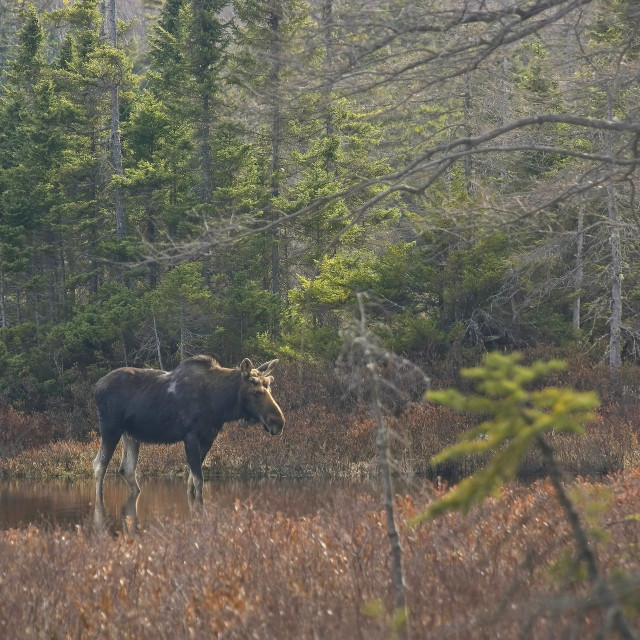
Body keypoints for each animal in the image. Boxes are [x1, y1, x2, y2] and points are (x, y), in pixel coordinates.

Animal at [92, 356, 284, 500]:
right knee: (99, 464)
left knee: (127, 469)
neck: (220, 404)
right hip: (110, 428)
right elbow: (198, 481)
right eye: (256, 392)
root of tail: (96, 387)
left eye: (269, 387)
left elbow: (192, 481)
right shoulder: (191, 436)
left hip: (130, 434)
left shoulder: (208, 438)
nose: (278, 422)